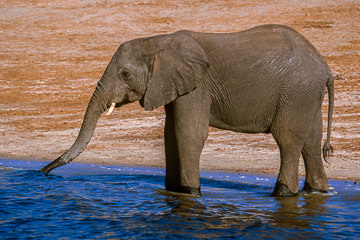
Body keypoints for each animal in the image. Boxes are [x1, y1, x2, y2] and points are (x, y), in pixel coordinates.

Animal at [40, 24, 334, 197]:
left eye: (125, 74)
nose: (43, 172)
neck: (160, 41)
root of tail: (325, 68)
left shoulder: (197, 86)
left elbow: (189, 133)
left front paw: (191, 193)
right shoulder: (174, 84)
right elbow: (171, 135)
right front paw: (175, 192)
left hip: (296, 92)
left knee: (288, 140)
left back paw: (283, 195)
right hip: (306, 95)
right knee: (311, 141)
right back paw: (318, 192)